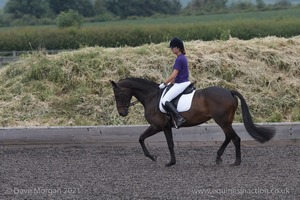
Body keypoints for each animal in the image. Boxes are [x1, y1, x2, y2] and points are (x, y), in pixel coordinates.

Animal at [109, 77, 274, 166]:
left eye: (117, 94)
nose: (122, 113)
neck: (152, 97)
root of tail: (229, 91)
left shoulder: (160, 126)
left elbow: (162, 142)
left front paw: (167, 161)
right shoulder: (161, 126)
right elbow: (142, 138)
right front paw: (156, 158)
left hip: (222, 121)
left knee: (235, 138)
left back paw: (236, 162)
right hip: (225, 121)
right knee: (229, 137)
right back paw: (218, 157)